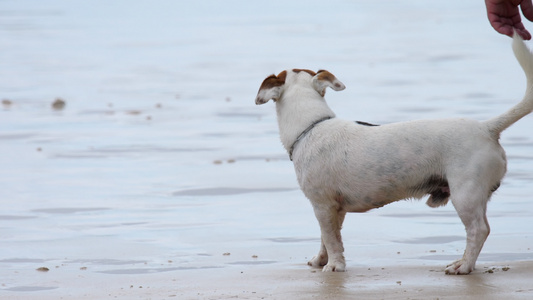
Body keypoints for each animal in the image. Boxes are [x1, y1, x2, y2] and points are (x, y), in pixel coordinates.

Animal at [254, 34, 532, 276]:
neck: (312, 126)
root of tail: (487, 127)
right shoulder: (335, 209)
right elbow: (327, 237)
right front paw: (321, 260)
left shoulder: (322, 205)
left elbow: (331, 239)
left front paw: (334, 266)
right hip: (476, 195)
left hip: (465, 194)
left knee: (479, 230)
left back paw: (463, 266)